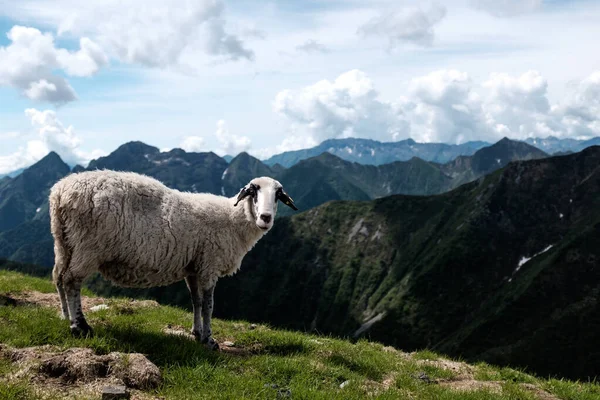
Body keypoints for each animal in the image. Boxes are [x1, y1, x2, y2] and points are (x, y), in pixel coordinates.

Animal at [49, 170, 298, 348]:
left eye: (278, 195)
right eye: (254, 191)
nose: (265, 218)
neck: (234, 220)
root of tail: (60, 192)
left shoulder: (194, 267)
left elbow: (196, 302)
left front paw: (197, 333)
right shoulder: (209, 265)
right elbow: (209, 305)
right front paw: (209, 340)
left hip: (64, 242)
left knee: (59, 277)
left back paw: (64, 316)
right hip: (88, 245)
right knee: (72, 281)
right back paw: (79, 326)